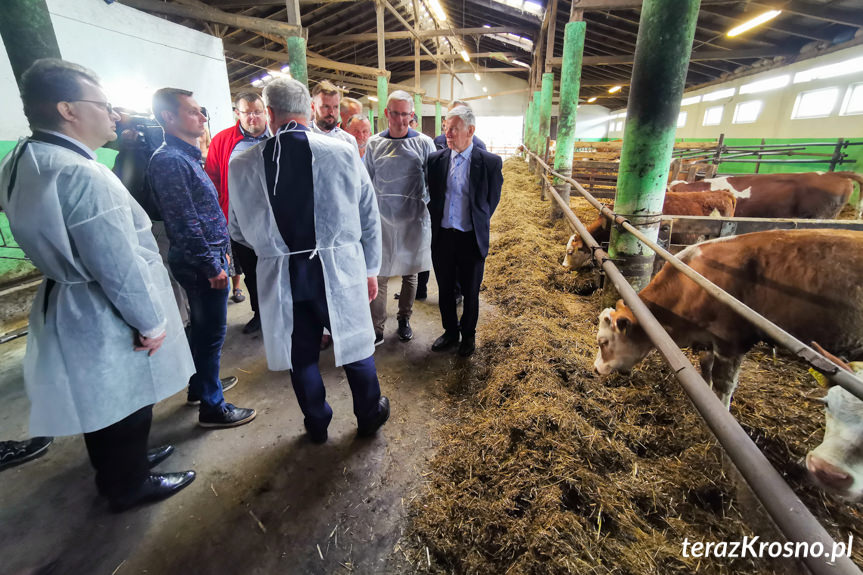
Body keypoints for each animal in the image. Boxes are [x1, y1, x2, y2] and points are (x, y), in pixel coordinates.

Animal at [592, 227, 863, 412]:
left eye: (603, 342)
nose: (595, 369)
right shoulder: (710, 339)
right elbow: (705, 366)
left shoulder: (730, 341)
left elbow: (724, 384)